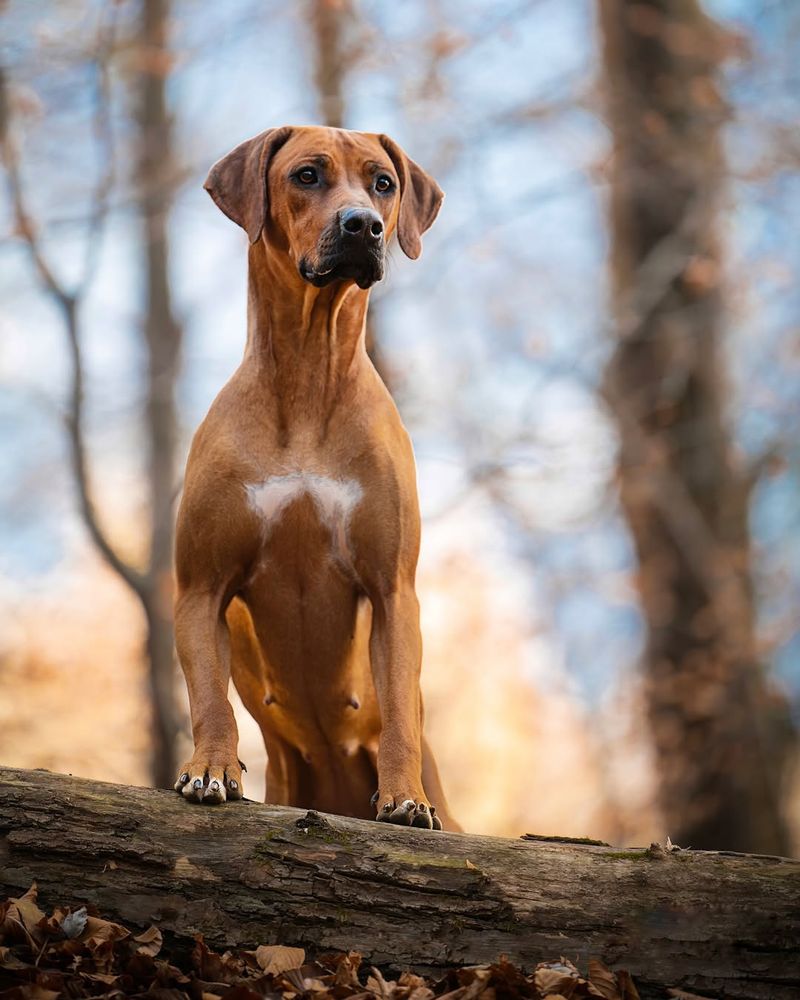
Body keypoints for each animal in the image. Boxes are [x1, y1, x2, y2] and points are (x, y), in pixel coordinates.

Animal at [172, 123, 460, 828]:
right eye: (307, 175)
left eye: (383, 183)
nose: (364, 226)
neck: (308, 372)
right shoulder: (200, 587)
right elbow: (209, 695)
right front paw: (211, 767)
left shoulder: (393, 589)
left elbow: (400, 705)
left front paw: (405, 797)